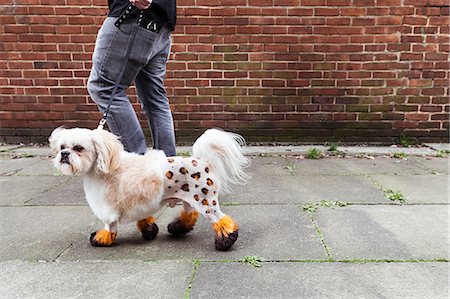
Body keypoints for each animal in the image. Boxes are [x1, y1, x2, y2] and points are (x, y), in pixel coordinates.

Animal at [48, 128, 250, 251]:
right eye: (62, 147)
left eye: (78, 148)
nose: (64, 154)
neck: (103, 168)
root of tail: (203, 161)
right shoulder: (139, 204)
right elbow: (144, 218)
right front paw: (149, 230)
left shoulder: (108, 208)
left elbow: (109, 225)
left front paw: (100, 239)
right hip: (190, 199)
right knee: (190, 214)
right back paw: (177, 228)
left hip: (205, 201)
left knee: (221, 220)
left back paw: (225, 241)